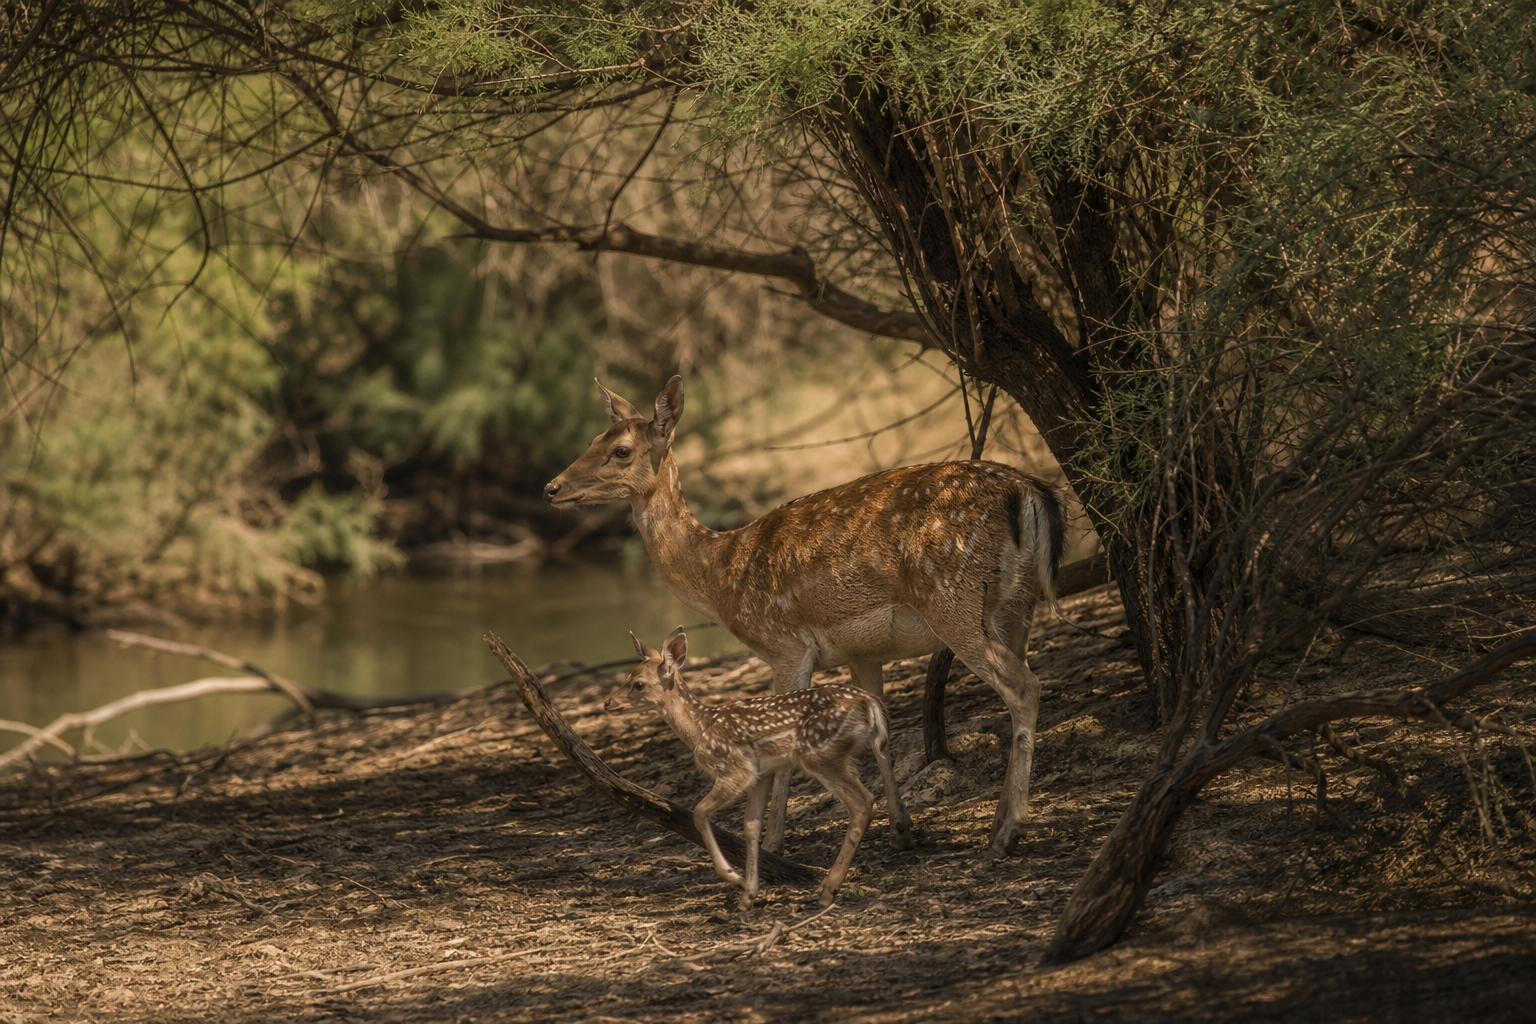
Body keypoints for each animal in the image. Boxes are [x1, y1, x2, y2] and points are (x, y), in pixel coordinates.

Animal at [545, 375, 1067, 858]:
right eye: (593, 440)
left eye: (621, 450)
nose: (551, 487)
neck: (721, 575)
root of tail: (1029, 491)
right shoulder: (863, 652)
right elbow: (880, 728)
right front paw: (901, 831)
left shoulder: (785, 644)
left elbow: (782, 738)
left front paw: (773, 845)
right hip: (1015, 605)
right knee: (1020, 681)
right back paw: (997, 821)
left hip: (952, 599)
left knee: (1024, 685)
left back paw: (1008, 832)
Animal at [605, 627, 910, 909]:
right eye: (629, 677)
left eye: (639, 684)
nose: (608, 703)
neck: (701, 729)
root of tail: (869, 703)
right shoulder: (761, 774)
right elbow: (751, 827)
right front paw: (748, 895)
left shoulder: (736, 768)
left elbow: (700, 812)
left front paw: (734, 878)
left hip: (821, 754)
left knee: (862, 802)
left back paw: (827, 890)